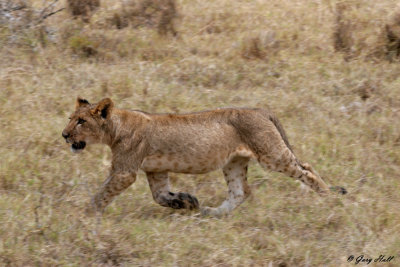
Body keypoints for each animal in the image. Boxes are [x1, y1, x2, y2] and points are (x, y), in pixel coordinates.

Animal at [62, 97, 346, 217]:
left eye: (81, 121)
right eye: (70, 118)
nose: (64, 135)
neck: (114, 128)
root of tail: (260, 110)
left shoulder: (124, 172)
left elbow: (101, 194)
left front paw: (82, 217)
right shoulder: (155, 170)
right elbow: (160, 196)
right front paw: (187, 202)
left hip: (272, 155)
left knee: (306, 168)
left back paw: (329, 197)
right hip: (233, 163)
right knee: (241, 192)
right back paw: (213, 212)